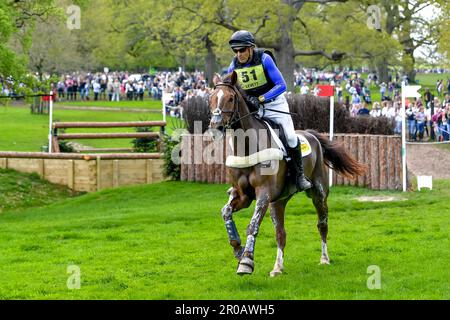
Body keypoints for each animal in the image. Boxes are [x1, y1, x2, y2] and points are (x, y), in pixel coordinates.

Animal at [209, 72, 368, 276]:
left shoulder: (264, 193)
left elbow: (253, 225)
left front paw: (246, 261)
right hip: (278, 201)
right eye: (211, 98)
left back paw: (324, 259)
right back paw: (277, 267)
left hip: (318, 193)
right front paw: (238, 250)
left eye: (230, 98)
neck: (247, 146)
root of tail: (312, 135)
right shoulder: (243, 196)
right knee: (281, 233)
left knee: (322, 224)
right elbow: (226, 212)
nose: (215, 126)